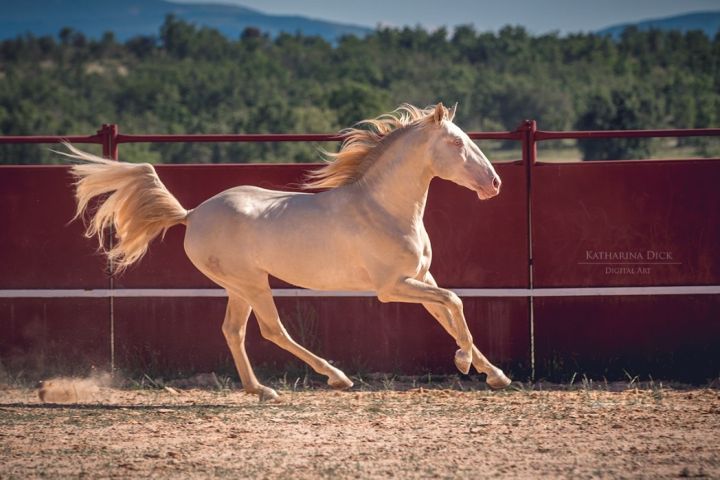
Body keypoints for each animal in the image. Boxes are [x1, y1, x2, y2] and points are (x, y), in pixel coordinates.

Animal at [63, 104, 512, 402]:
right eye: (455, 142)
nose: (494, 184)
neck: (383, 208)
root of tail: (191, 215)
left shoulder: (421, 279)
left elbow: (449, 314)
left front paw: (494, 374)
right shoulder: (392, 287)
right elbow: (455, 304)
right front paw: (463, 362)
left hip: (238, 288)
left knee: (234, 331)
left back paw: (261, 390)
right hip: (252, 283)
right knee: (271, 330)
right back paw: (335, 377)